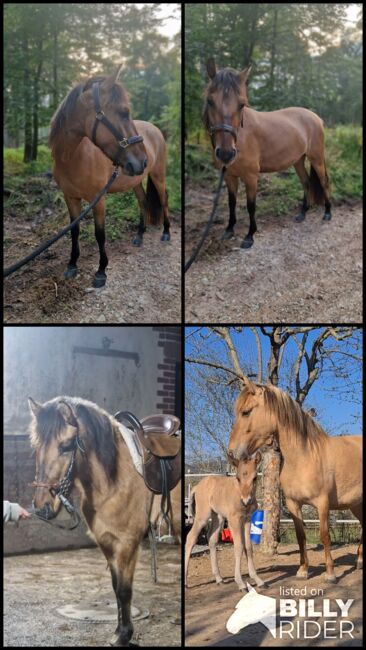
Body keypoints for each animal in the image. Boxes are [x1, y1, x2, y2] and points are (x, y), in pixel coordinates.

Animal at [29, 394, 181, 644]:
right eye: (36, 446)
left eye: (66, 445)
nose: (42, 507)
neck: (114, 480)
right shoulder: (107, 542)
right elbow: (115, 587)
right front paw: (119, 630)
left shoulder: (127, 544)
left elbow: (124, 591)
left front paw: (124, 635)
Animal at [49, 68, 171, 286]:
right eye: (123, 112)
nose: (142, 160)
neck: (73, 157)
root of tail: (155, 129)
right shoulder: (70, 198)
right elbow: (74, 230)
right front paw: (72, 265)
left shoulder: (99, 200)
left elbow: (100, 234)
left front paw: (101, 271)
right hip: (136, 180)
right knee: (143, 201)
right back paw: (139, 236)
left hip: (158, 175)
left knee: (164, 199)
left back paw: (166, 233)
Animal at [184, 450, 264, 588]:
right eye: (238, 478)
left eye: (255, 478)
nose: (246, 500)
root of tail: (196, 487)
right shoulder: (234, 520)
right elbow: (238, 546)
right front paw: (241, 583)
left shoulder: (247, 519)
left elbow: (248, 547)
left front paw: (258, 580)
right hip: (202, 517)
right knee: (190, 538)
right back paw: (185, 581)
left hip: (218, 517)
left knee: (211, 539)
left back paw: (219, 578)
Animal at [203, 58, 332, 248]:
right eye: (210, 101)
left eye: (241, 104)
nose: (226, 154)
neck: (241, 136)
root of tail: (315, 117)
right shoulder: (229, 176)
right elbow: (232, 203)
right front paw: (229, 230)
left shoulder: (251, 177)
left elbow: (251, 205)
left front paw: (249, 236)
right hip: (298, 161)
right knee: (306, 182)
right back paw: (302, 214)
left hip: (316, 158)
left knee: (323, 182)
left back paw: (328, 213)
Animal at [229, 378, 364, 580]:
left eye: (246, 412)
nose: (231, 452)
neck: (304, 456)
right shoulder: (294, 504)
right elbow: (301, 536)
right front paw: (303, 570)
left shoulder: (322, 503)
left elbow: (325, 535)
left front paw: (330, 573)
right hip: (356, 504)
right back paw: (360, 561)